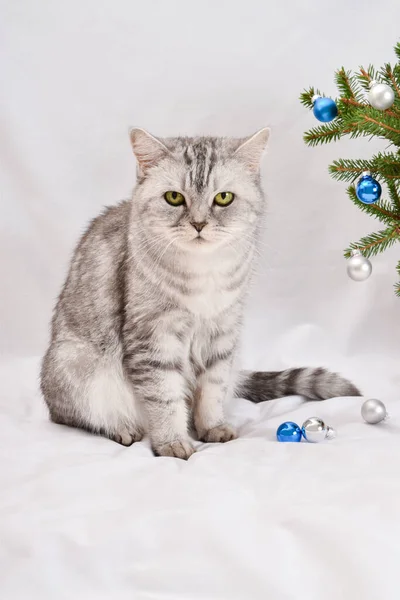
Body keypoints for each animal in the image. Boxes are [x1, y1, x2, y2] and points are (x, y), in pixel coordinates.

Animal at [39, 125, 360, 454]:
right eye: (174, 197)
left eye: (223, 198)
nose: (199, 223)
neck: (204, 273)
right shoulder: (154, 336)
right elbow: (165, 397)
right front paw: (172, 442)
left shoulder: (223, 331)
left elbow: (212, 390)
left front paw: (212, 427)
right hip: (76, 364)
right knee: (78, 415)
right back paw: (122, 428)